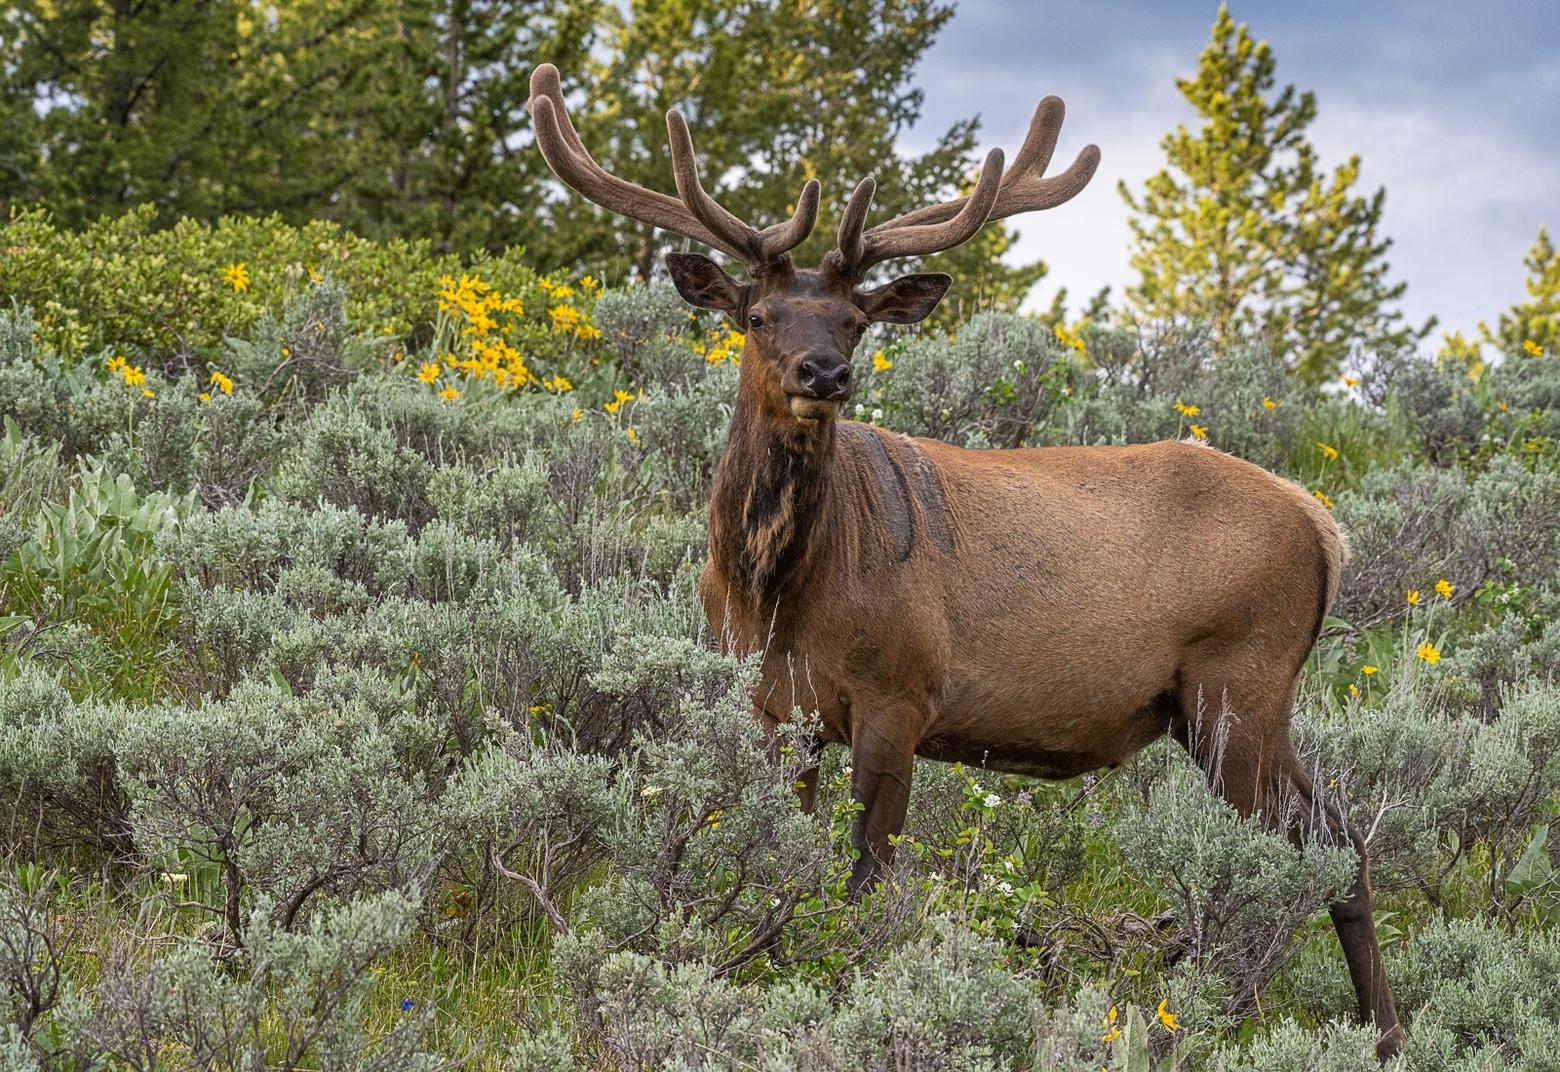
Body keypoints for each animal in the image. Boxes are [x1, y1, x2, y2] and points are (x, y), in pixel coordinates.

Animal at [530, 62, 1410, 1061]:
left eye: (856, 321)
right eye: (755, 316)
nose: (823, 373)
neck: (773, 592)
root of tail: (1324, 526)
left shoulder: (901, 691)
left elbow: (868, 877)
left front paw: (852, 997)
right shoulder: (770, 706)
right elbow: (781, 859)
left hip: (1240, 684)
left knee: (1309, 845)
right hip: (1240, 704)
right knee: (1337, 836)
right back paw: (1377, 1032)